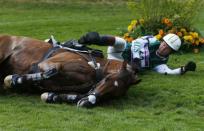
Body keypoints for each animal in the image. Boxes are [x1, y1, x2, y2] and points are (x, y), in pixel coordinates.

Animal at [0, 34, 140, 107]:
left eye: (113, 94)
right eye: (107, 79)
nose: (86, 104)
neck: (95, 68)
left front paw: (52, 96)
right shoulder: (49, 63)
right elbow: (52, 71)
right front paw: (13, 79)